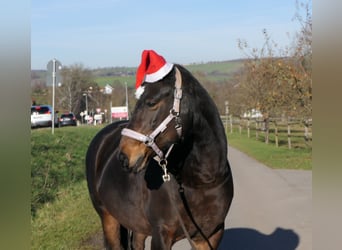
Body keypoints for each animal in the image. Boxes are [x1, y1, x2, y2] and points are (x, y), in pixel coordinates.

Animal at [87, 65, 234, 250]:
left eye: (151, 103)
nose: (124, 156)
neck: (202, 181)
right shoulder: (161, 235)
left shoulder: (210, 236)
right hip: (108, 218)